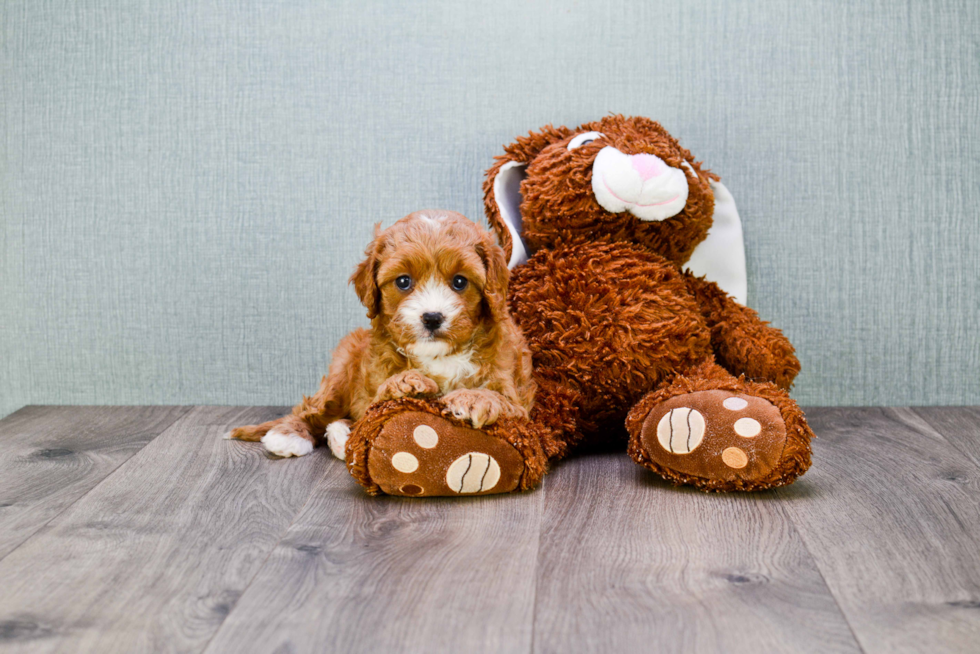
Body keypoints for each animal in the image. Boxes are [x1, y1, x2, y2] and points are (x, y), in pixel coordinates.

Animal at [228, 210, 536, 462]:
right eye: (403, 281)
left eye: (460, 281)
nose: (432, 317)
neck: (439, 355)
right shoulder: (371, 383)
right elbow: (377, 398)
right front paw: (405, 383)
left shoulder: (517, 398)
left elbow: (501, 398)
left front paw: (473, 399)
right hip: (343, 366)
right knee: (314, 408)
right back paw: (291, 434)